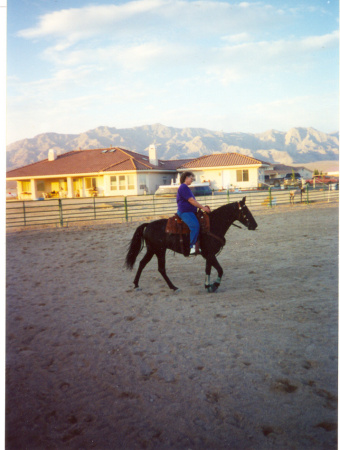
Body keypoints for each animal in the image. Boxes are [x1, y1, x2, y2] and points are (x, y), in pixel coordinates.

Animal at [125, 196, 258, 294]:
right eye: (245, 211)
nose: (255, 225)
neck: (213, 224)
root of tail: (148, 225)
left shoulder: (208, 255)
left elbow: (208, 269)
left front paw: (208, 286)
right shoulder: (209, 254)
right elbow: (220, 270)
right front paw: (214, 285)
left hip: (153, 250)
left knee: (144, 264)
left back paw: (137, 284)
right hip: (158, 250)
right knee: (159, 268)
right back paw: (173, 287)